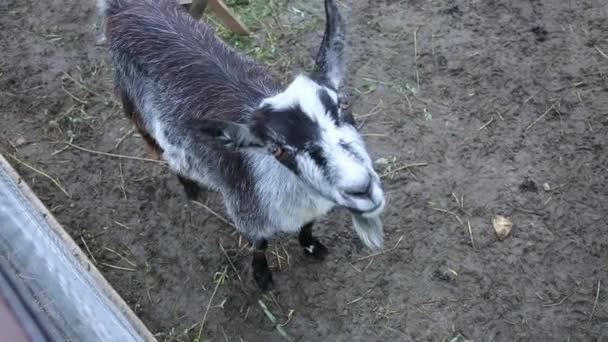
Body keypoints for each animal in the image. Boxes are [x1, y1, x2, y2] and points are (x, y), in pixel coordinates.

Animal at [98, 0, 388, 292]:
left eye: (344, 105)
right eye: (277, 149)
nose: (361, 188)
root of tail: (123, 7)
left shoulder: (313, 208)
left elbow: (307, 226)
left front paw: (311, 246)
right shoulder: (246, 210)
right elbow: (259, 245)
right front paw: (262, 277)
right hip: (134, 107)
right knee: (159, 148)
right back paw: (190, 187)